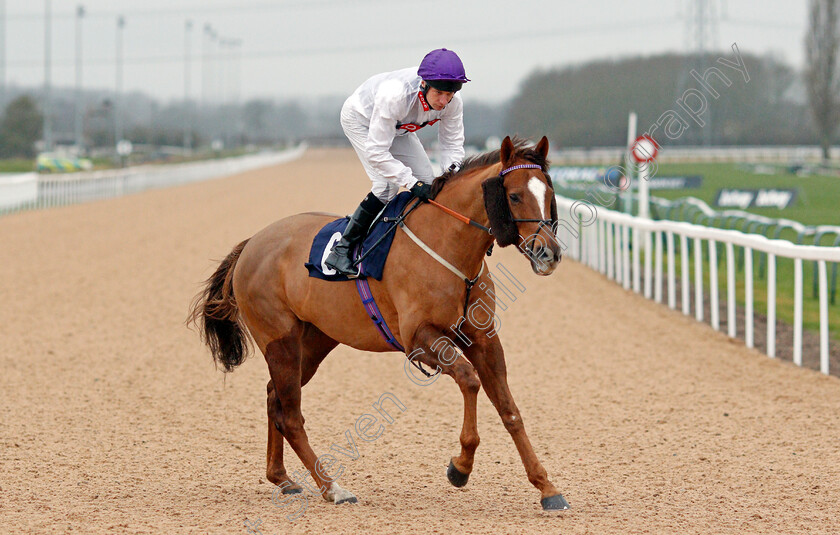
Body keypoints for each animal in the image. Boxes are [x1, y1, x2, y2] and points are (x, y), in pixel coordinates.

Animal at [190, 136, 572, 512]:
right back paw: (333, 488)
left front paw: (547, 487)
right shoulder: (419, 339)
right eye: (514, 195)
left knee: (275, 398)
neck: (448, 247)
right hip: (279, 339)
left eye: (550, 194)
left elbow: (509, 409)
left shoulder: (484, 338)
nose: (549, 253)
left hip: (313, 342)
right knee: (291, 416)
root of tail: (251, 243)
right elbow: (469, 379)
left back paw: (282, 478)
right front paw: (460, 466)